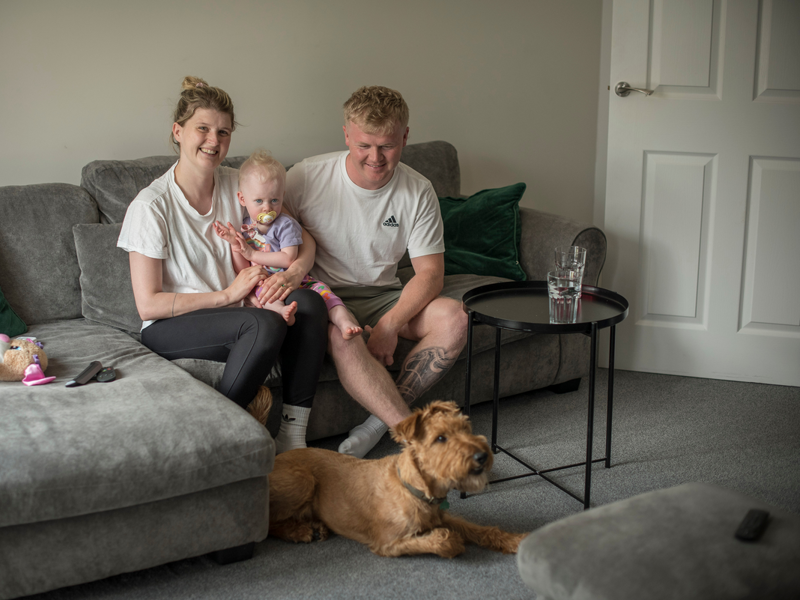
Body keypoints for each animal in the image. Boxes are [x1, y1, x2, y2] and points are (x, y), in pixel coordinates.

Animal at [268, 400, 528, 556]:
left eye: (466, 428)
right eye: (440, 438)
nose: (482, 456)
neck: (417, 489)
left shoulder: (444, 516)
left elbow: (480, 529)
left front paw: (514, 540)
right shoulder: (388, 543)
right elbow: (445, 540)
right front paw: (451, 540)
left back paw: (315, 527)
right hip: (303, 481)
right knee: (269, 522)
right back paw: (299, 531)